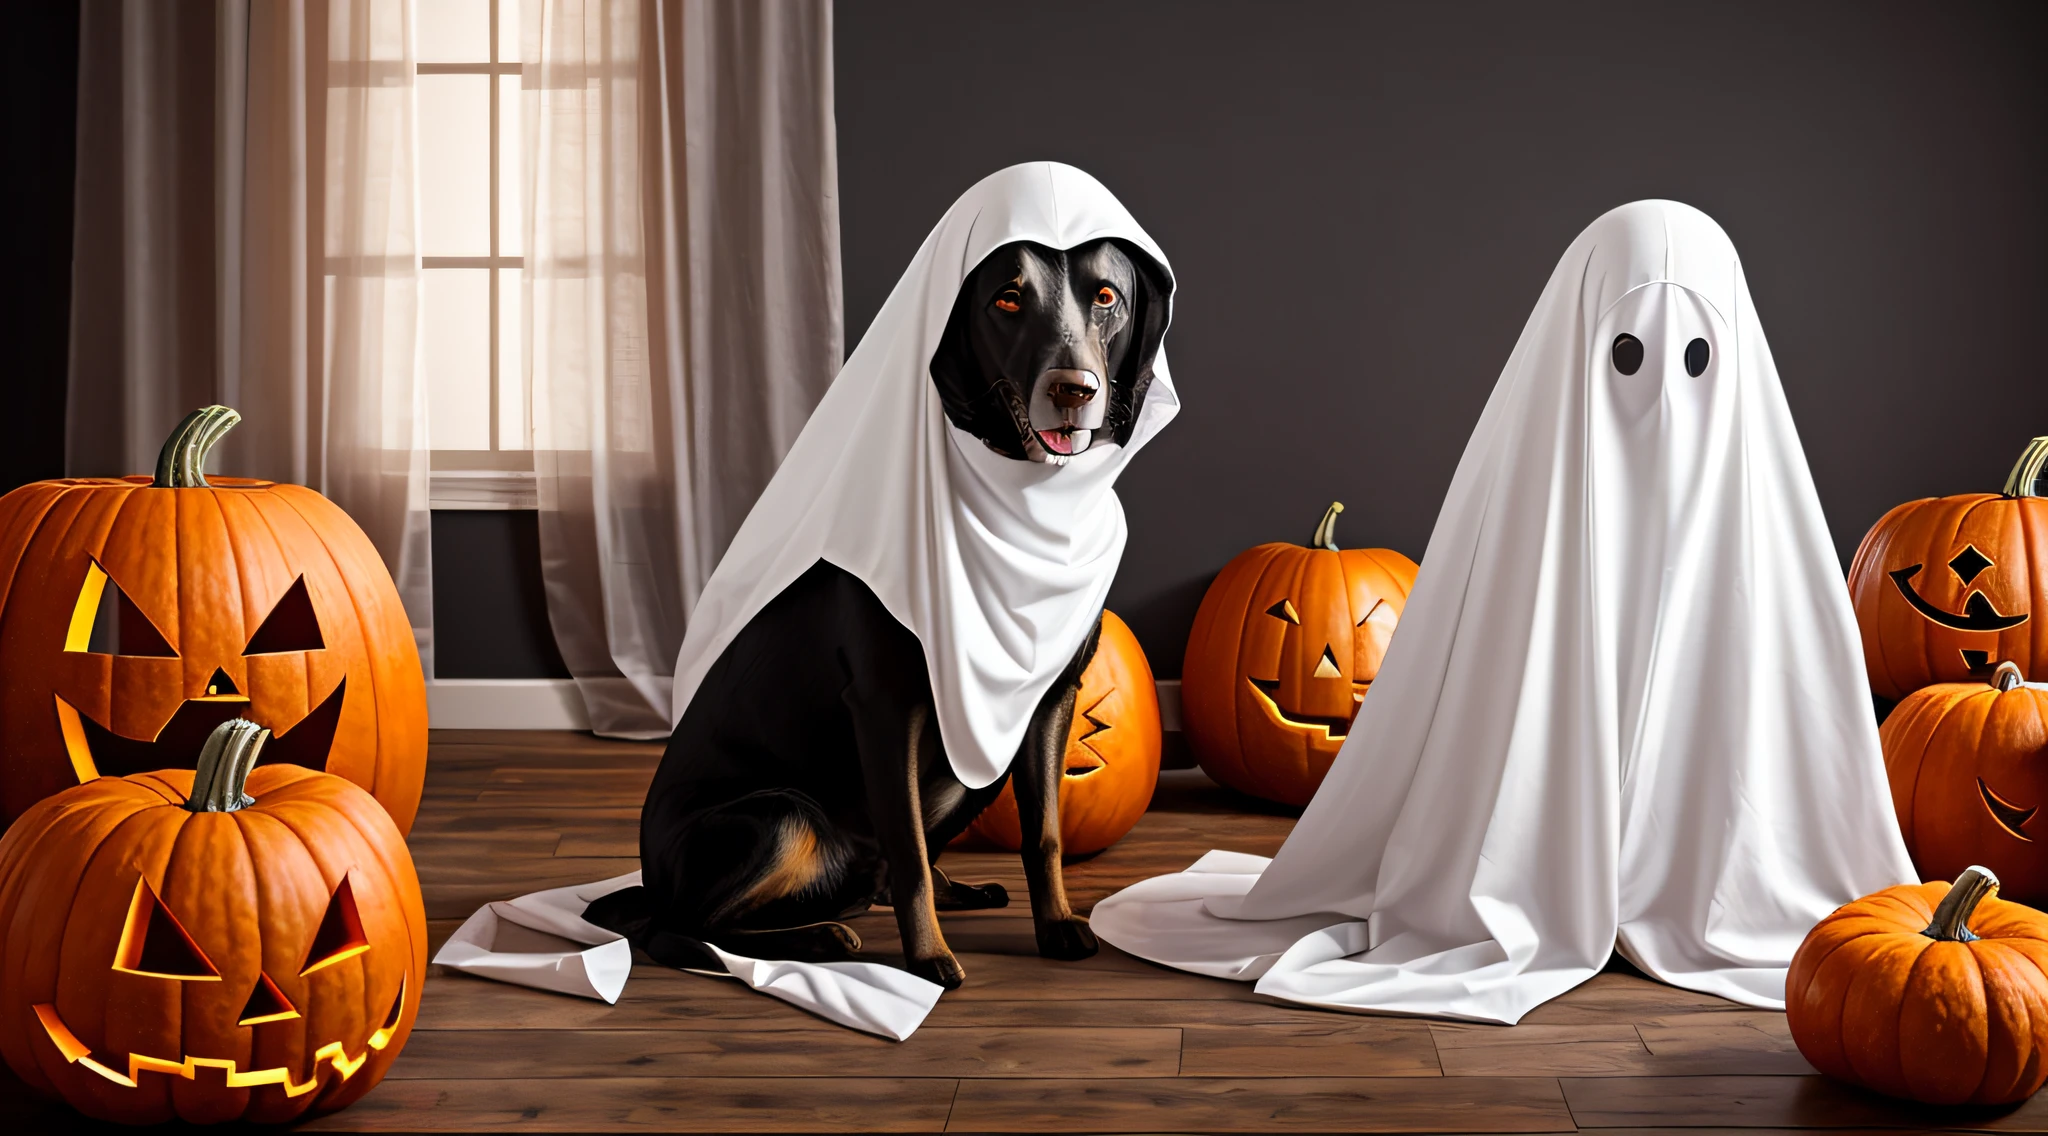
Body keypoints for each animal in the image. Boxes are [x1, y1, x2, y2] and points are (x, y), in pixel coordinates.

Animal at [589, 237, 1171, 986]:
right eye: (1007, 299)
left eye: (1106, 297)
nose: (1075, 392)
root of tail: (649, 884)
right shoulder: (886, 707)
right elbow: (910, 848)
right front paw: (928, 959)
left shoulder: (1048, 703)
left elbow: (1040, 832)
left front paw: (1056, 925)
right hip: (782, 817)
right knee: (694, 927)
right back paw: (821, 937)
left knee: (880, 874)